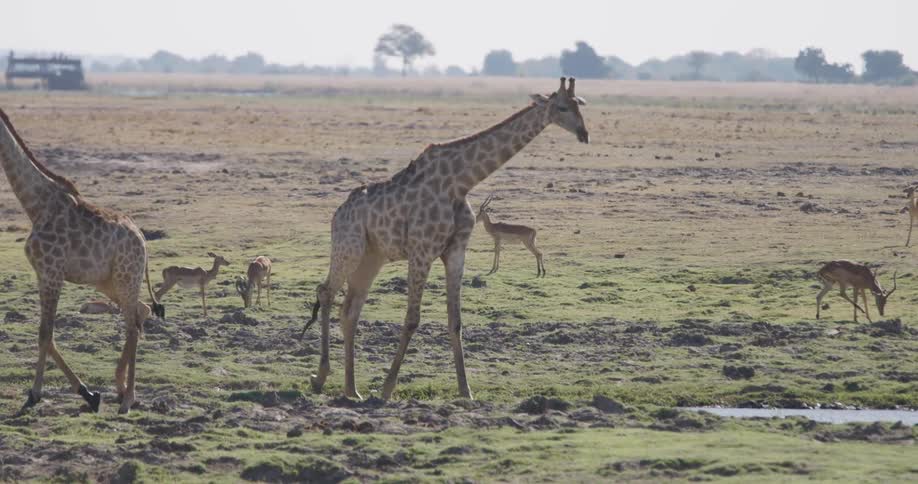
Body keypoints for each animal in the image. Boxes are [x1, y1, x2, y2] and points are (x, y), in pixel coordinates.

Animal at [0, 109, 164, 414]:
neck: (36, 206)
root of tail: (143, 240)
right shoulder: (43, 274)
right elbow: (47, 335)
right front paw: (89, 393)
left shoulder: (52, 273)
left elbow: (45, 334)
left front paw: (35, 394)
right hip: (108, 282)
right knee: (141, 311)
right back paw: (120, 387)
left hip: (126, 277)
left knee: (132, 325)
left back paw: (128, 399)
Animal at [302, 78, 589, 400]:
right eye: (562, 107)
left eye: (580, 104)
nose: (584, 133)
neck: (460, 182)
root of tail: (338, 213)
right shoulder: (422, 250)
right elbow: (412, 319)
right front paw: (387, 389)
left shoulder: (456, 251)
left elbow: (456, 321)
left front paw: (466, 390)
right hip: (348, 247)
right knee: (326, 292)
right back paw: (320, 377)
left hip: (372, 257)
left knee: (350, 309)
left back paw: (352, 390)